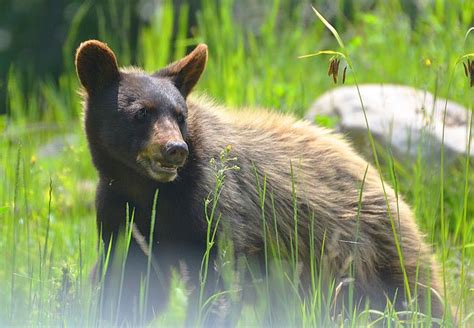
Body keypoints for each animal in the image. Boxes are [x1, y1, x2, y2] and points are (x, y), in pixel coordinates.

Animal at [76, 40, 446, 326]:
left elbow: (219, 280)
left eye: (180, 115)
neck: (150, 190)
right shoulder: (120, 210)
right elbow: (124, 278)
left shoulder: (215, 205)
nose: (175, 149)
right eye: (141, 112)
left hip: (371, 258)